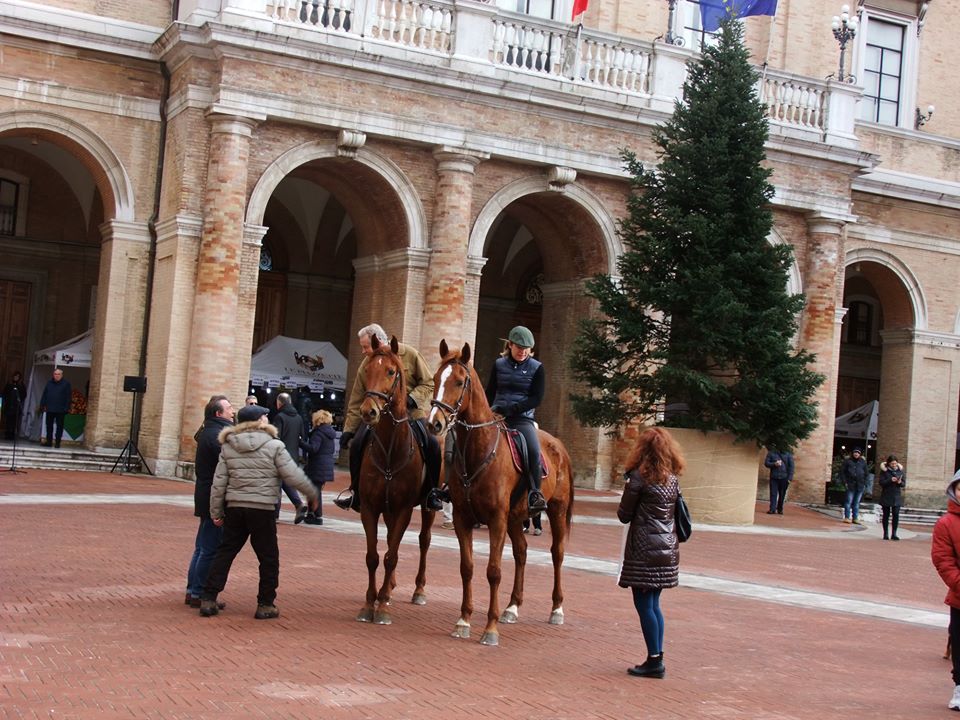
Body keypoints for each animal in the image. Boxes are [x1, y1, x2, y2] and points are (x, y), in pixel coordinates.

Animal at [356, 336, 438, 624]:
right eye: (367, 370)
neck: (391, 451)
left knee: (423, 541)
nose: (369, 411)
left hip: (425, 508)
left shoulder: (403, 509)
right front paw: (369, 603)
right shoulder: (370, 507)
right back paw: (388, 588)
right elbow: (372, 556)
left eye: (392, 372)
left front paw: (380, 607)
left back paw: (417, 590)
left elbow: (391, 556)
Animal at [426, 338, 572, 648]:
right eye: (436, 378)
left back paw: (556, 609)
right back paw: (512, 607)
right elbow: (467, 567)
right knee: (522, 553)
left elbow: (493, 571)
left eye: (459, 382)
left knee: (557, 554)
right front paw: (464, 620)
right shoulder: (464, 519)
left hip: (556, 510)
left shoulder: (495, 520)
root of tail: (558, 445)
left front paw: (490, 629)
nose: (435, 423)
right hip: (516, 518)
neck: (478, 450)